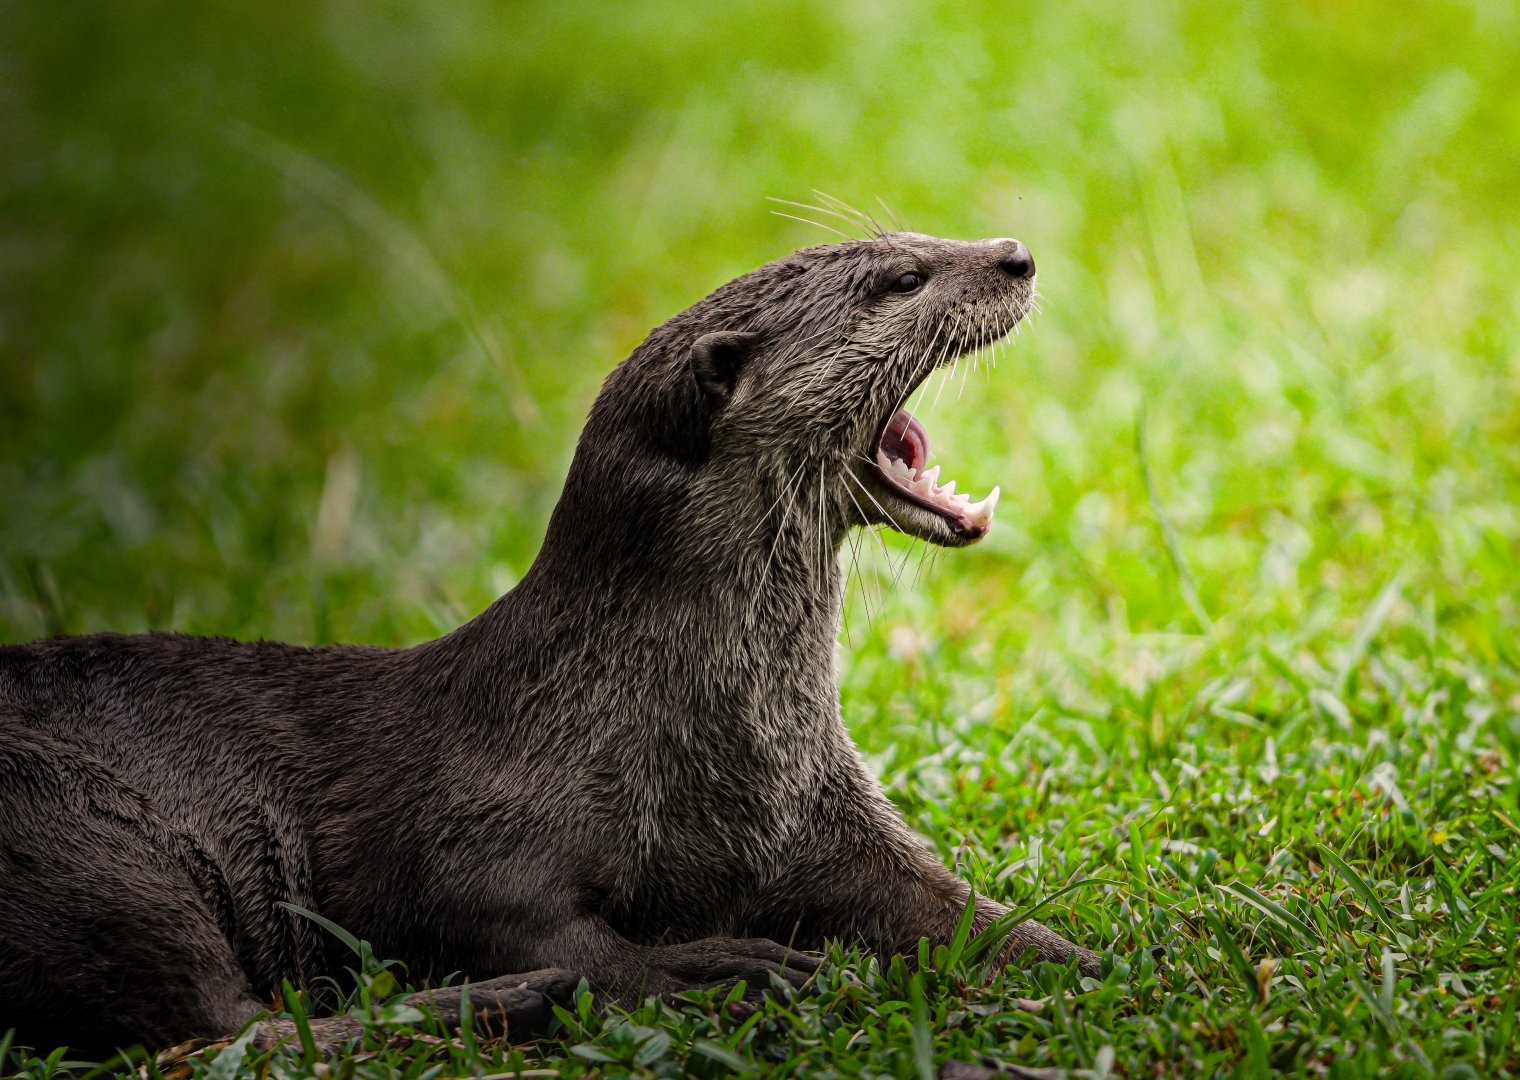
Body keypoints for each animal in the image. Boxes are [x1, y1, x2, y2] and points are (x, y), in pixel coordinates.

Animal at [0, 231, 1096, 1057]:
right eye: (899, 280)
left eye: (910, 240)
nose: (1013, 253)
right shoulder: (467, 833)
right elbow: (532, 925)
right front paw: (713, 967)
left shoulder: (817, 810)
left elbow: (946, 902)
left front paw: (1083, 957)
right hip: (81, 834)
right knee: (217, 1029)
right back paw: (513, 1001)